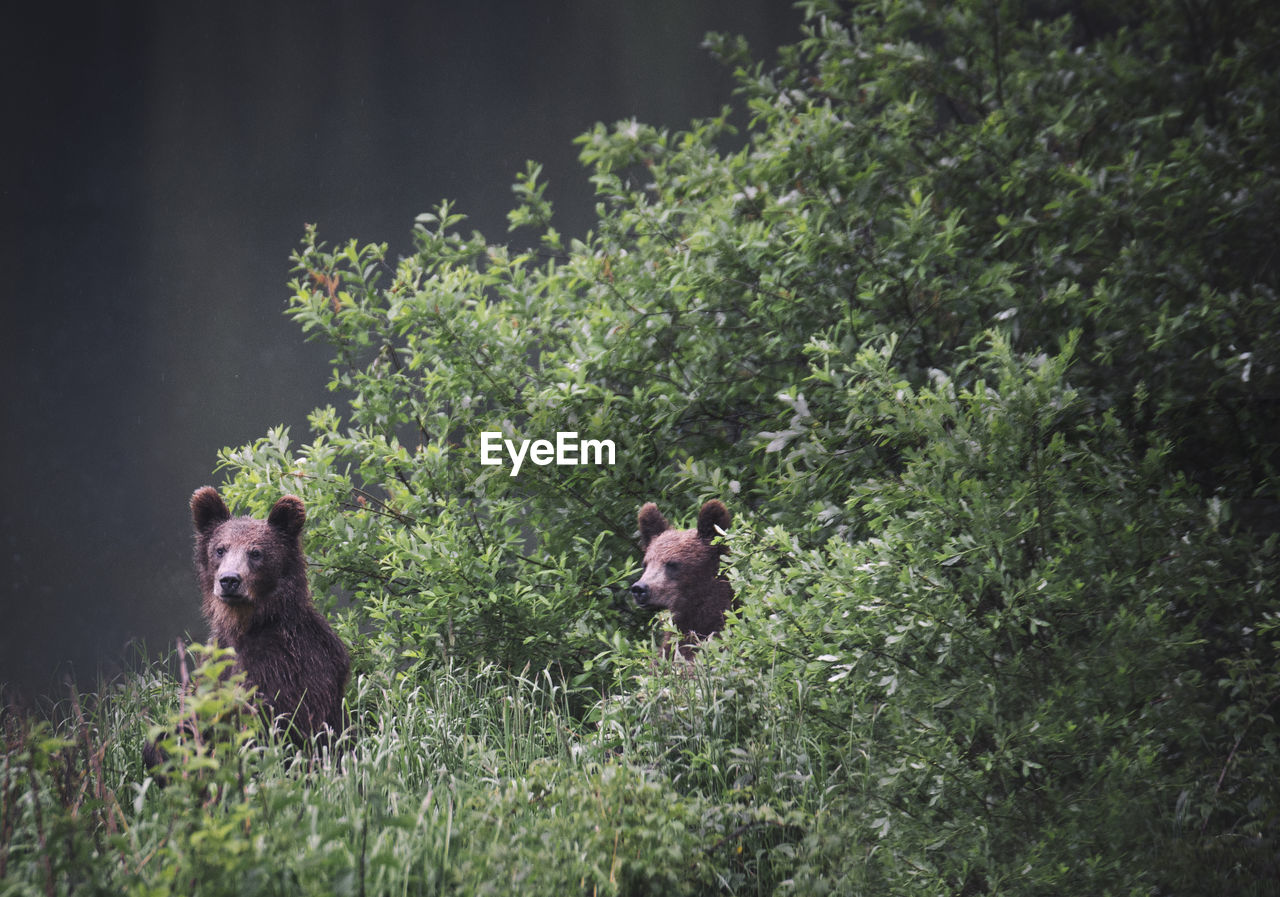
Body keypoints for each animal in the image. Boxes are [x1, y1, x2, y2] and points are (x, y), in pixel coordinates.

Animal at [183, 486, 348, 747]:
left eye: (256, 552)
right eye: (220, 549)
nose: (229, 580)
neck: (249, 624)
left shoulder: (283, 667)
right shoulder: (217, 660)